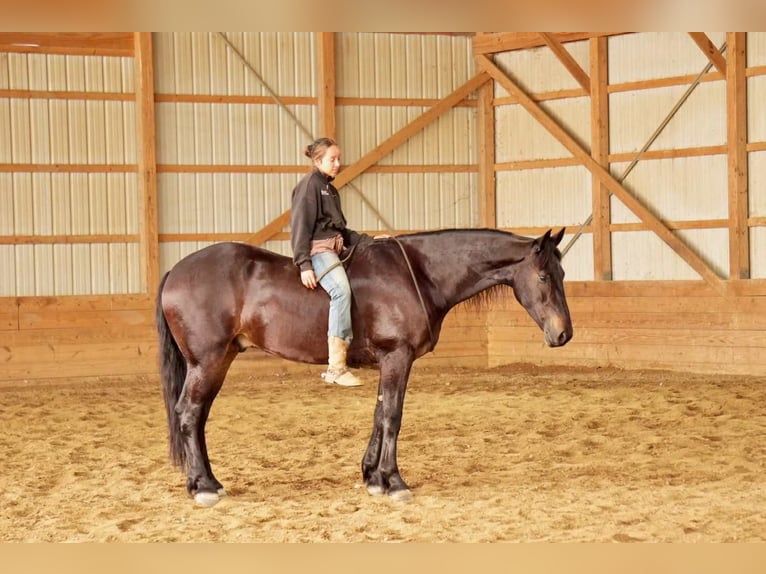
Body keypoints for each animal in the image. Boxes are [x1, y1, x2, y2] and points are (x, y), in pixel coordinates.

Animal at [156, 227, 573, 506]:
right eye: (543, 275)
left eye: (563, 274)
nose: (563, 334)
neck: (419, 273)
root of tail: (175, 271)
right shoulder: (397, 356)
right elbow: (392, 416)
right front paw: (394, 481)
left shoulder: (390, 361)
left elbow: (379, 414)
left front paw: (373, 477)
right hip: (207, 361)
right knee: (189, 413)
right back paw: (203, 488)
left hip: (218, 361)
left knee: (198, 416)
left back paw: (208, 481)